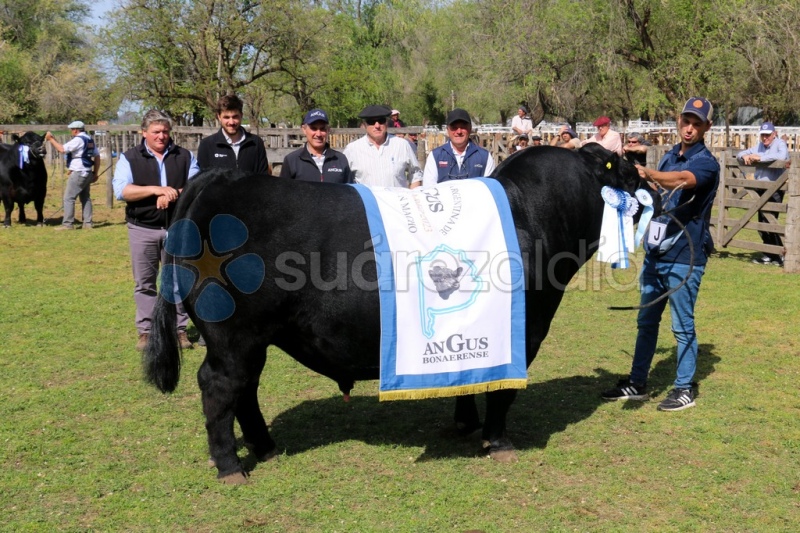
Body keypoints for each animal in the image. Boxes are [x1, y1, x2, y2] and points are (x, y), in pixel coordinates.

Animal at [144, 143, 656, 484]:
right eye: (627, 172)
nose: (652, 189)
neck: (533, 214)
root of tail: (221, 179)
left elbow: (471, 376)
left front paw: (466, 424)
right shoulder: (524, 331)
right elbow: (503, 391)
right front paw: (498, 441)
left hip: (252, 337)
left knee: (244, 389)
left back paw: (266, 448)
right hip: (232, 333)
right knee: (219, 387)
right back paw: (231, 466)